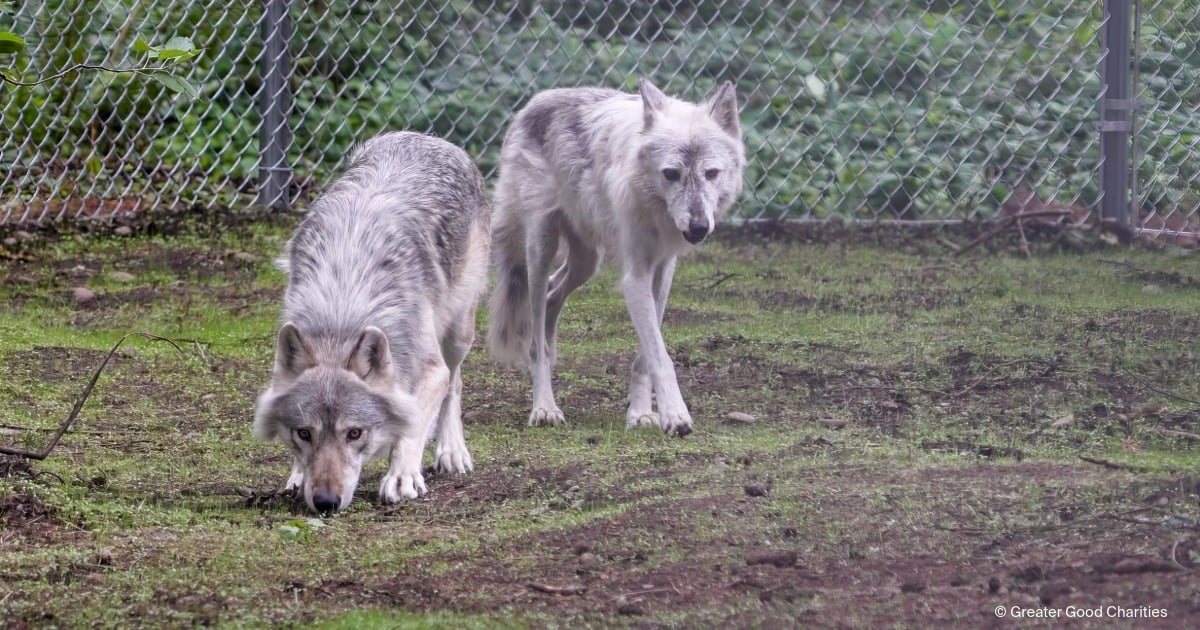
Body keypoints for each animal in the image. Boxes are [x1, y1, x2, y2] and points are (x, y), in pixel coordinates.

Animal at [253, 131, 490, 513]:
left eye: (355, 433)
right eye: (304, 433)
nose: (326, 501)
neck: (343, 303)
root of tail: (426, 137)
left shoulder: (430, 368)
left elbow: (412, 425)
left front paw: (402, 477)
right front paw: (298, 476)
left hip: (458, 333)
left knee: (455, 384)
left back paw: (452, 452)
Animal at [487, 79, 745, 436]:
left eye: (711, 173)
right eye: (671, 174)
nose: (698, 227)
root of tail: (533, 102)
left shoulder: (663, 269)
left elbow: (646, 356)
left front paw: (641, 414)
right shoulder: (635, 275)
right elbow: (660, 355)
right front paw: (675, 415)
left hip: (586, 263)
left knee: (553, 295)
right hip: (540, 248)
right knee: (536, 337)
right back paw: (545, 407)